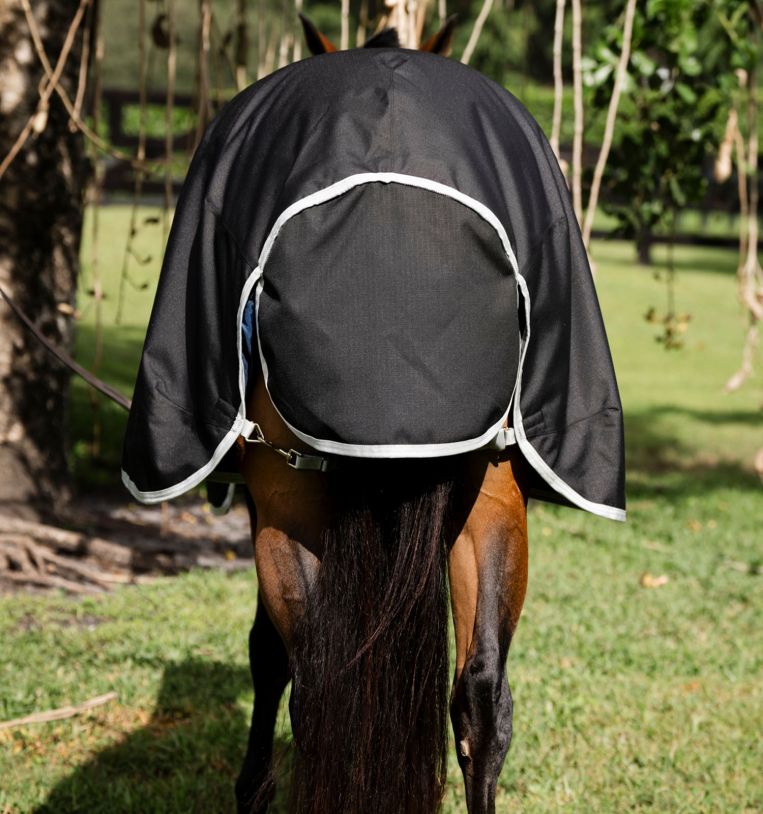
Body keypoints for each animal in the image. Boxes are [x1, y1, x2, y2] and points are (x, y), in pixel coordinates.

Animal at [232, 19, 529, 814]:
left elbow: (267, 656)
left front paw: (253, 785)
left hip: (288, 504)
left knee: (316, 687)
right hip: (493, 497)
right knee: (482, 693)